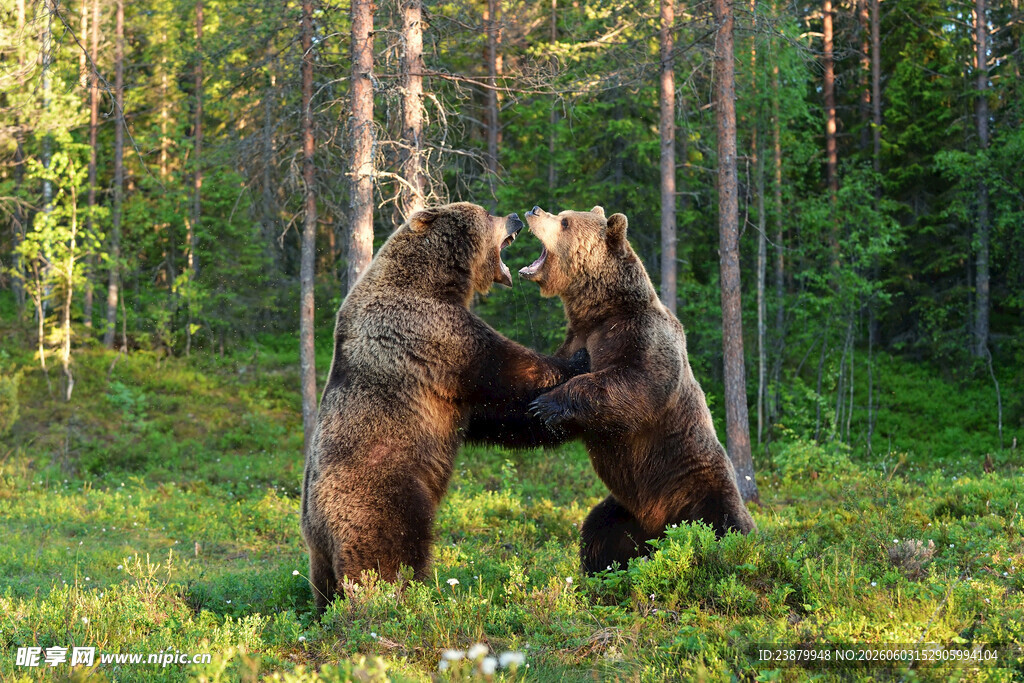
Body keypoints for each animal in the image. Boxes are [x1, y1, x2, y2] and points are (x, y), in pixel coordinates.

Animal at [301, 202, 587, 612]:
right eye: (486, 213)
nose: (516, 215)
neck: (436, 279)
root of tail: (317, 525)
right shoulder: (431, 331)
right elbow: (504, 366)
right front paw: (577, 360)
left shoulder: (453, 392)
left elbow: (499, 414)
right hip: (382, 492)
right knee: (388, 554)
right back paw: (397, 601)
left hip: (320, 554)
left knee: (325, 586)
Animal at [518, 205, 756, 574]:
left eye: (565, 220)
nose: (533, 209)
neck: (600, 311)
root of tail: (659, 529)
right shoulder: (577, 340)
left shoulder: (642, 336)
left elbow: (637, 385)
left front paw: (549, 403)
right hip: (625, 512)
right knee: (597, 530)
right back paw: (598, 571)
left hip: (698, 489)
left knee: (726, 525)